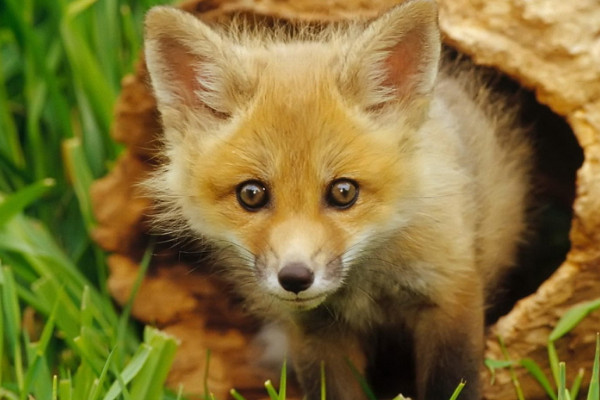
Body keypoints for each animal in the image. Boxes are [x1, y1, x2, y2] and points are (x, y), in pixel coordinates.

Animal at [143, 0, 532, 398]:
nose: (295, 277)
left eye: (343, 192)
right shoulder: (315, 331)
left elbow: (454, 382)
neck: (366, 287)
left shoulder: (450, 292)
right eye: (251, 194)